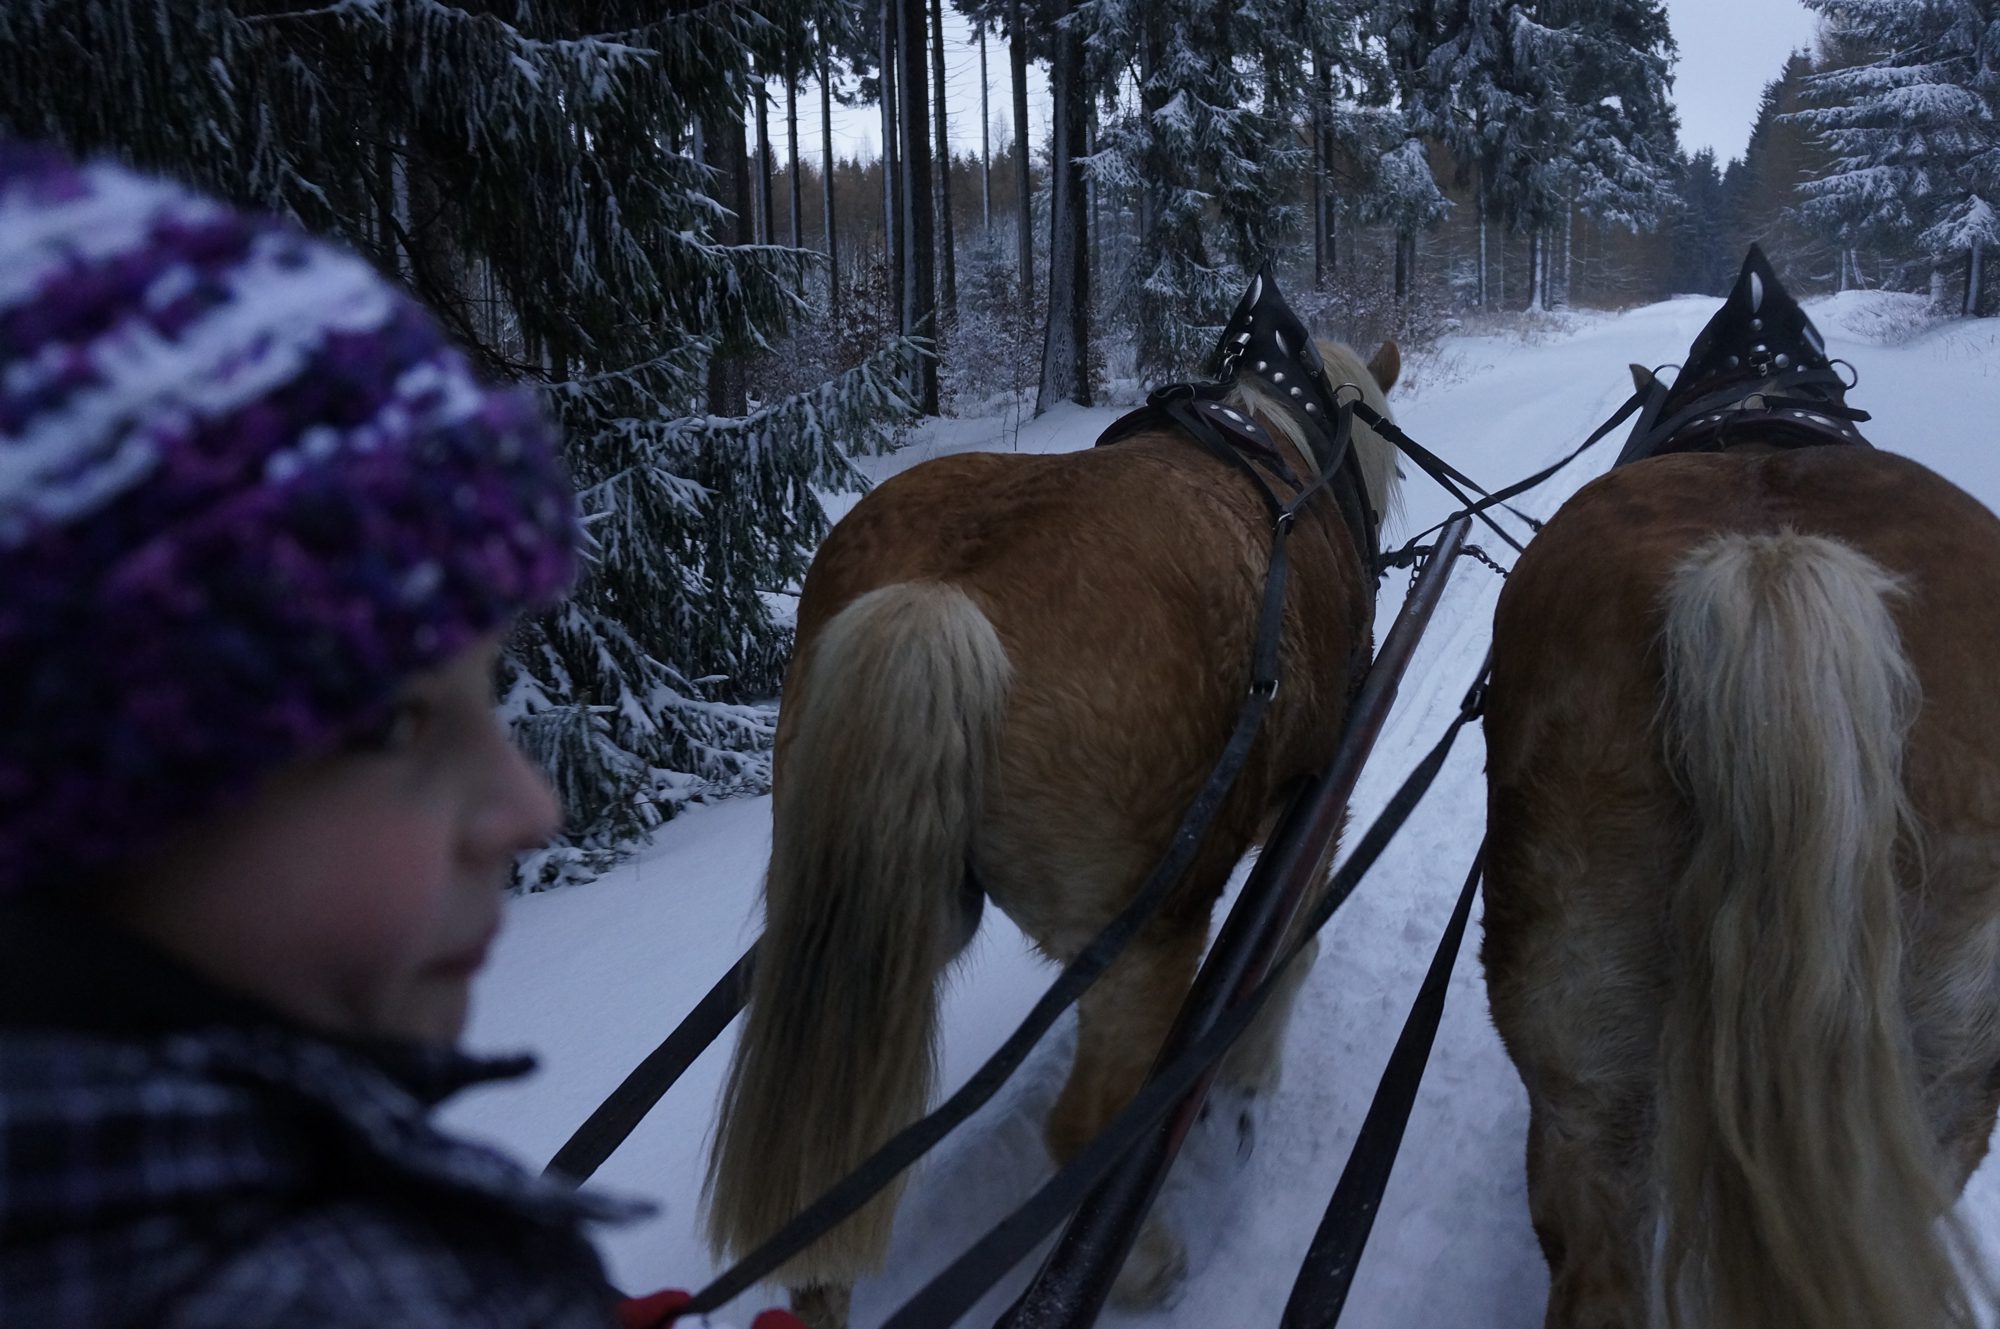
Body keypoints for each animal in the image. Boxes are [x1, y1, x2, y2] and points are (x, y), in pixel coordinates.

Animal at [712, 272, 1400, 1329]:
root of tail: (943, 596)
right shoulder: (1314, 800)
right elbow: (1290, 947)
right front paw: (1247, 1086)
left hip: (881, 917)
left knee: (831, 1185)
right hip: (1147, 930)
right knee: (1086, 1129)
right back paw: (1149, 1265)